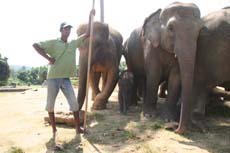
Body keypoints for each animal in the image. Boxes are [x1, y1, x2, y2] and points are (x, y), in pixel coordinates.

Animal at [143, 2, 230, 133]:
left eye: (200, 31)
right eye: (170, 28)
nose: (173, 128)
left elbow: (176, 77)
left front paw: (168, 119)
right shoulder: (151, 47)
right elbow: (154, 73)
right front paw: (150, 116)